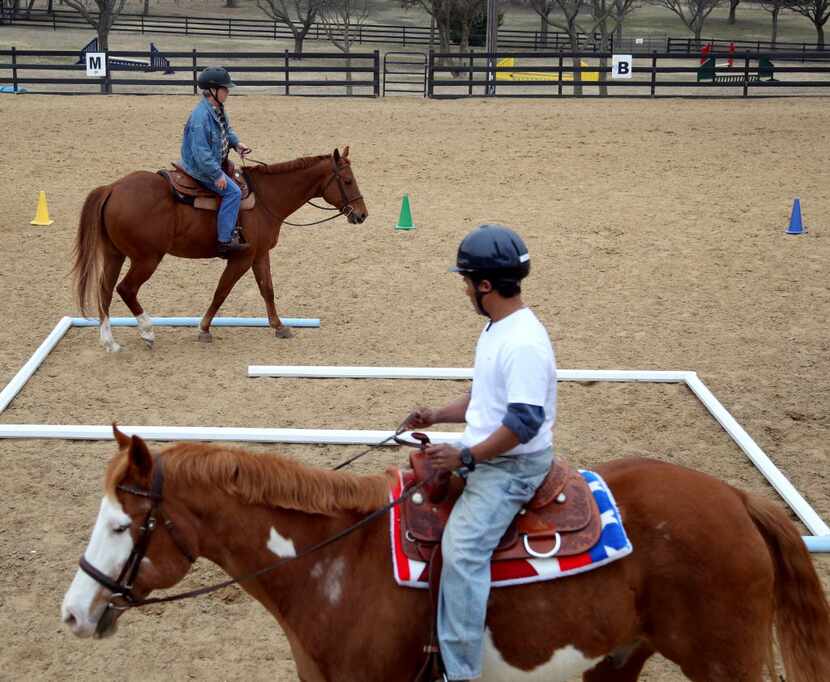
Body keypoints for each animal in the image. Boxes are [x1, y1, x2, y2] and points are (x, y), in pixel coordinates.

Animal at [63, 430, 830, 680]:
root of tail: (738, 498)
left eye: (122, 525)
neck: (333, 565)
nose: (72, 614)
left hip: (728, 664)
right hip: (617, 660)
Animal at [72, 148, 368, 350]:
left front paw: (279, 326)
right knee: (126, 289)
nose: (362, 214)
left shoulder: (260, 255)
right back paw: (147, 331)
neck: (265, 199)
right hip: (146, 259)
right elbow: (221, 292)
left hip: (115, 254)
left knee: (104, 290)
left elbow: (267, 290)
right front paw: (204, 329)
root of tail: (112, 188)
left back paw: (109, 341)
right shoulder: (241, 258)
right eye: (348, 180)